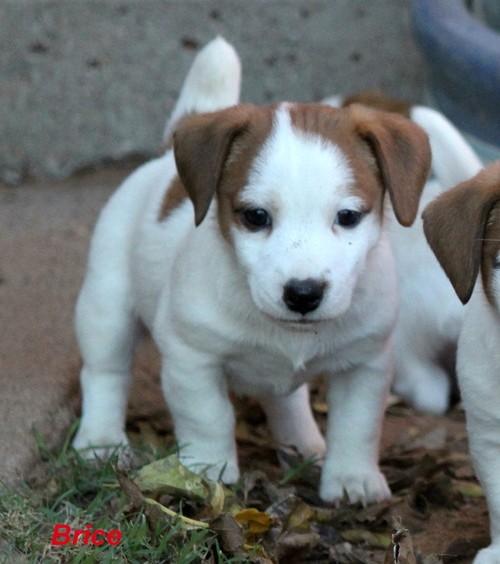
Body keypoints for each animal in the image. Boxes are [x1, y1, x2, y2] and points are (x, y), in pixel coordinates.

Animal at [72, 39, 432, 506]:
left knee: (287, 400)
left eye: (349, 216)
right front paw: (206, 471)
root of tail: (165, 156)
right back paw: (100, 440)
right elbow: (209, 416)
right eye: (256, 216)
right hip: (107, 303)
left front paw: (353, 478)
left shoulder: (366, 363)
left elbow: (358, 425)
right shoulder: (191, 357)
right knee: (105, 372)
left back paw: (304, 445)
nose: (303, 293)